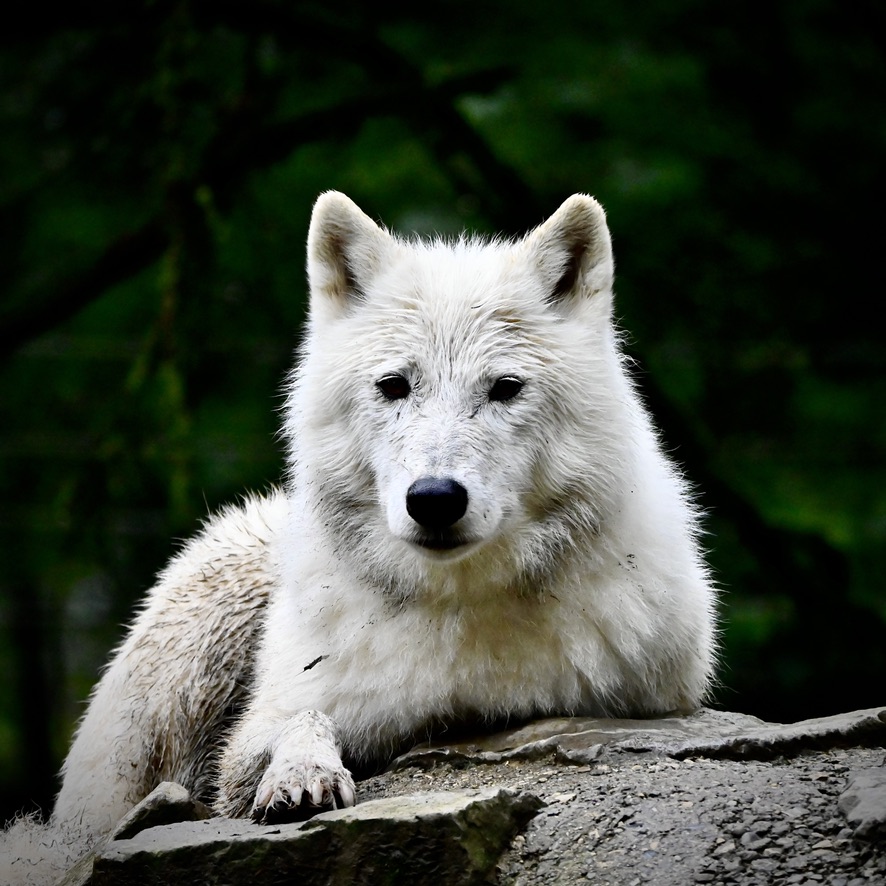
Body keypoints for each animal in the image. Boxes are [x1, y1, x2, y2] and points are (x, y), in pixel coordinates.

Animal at [0, 191, 720, 884]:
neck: (458, 619)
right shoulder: (253, 740)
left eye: (505, 388)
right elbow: (300, 722)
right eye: (394, 386)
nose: (434, 499)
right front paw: (302, 776)